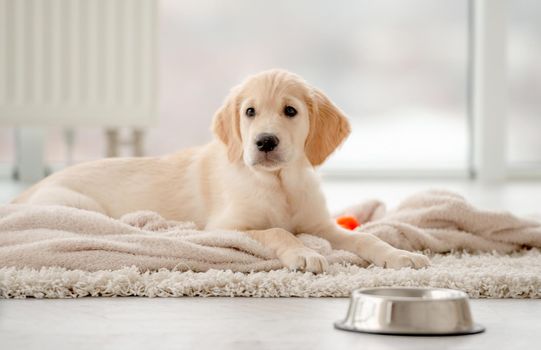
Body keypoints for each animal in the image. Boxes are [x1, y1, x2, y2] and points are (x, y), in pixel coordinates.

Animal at [10, 67, 428, 270]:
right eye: (250, 112)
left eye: (290, 111)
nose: (264, 142)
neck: (279, 183)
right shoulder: (225, 227)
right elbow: (276, 230)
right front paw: (303, 254)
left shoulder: (322, 226)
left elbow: (365, 238)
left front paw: (398, 255)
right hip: (76, 205)